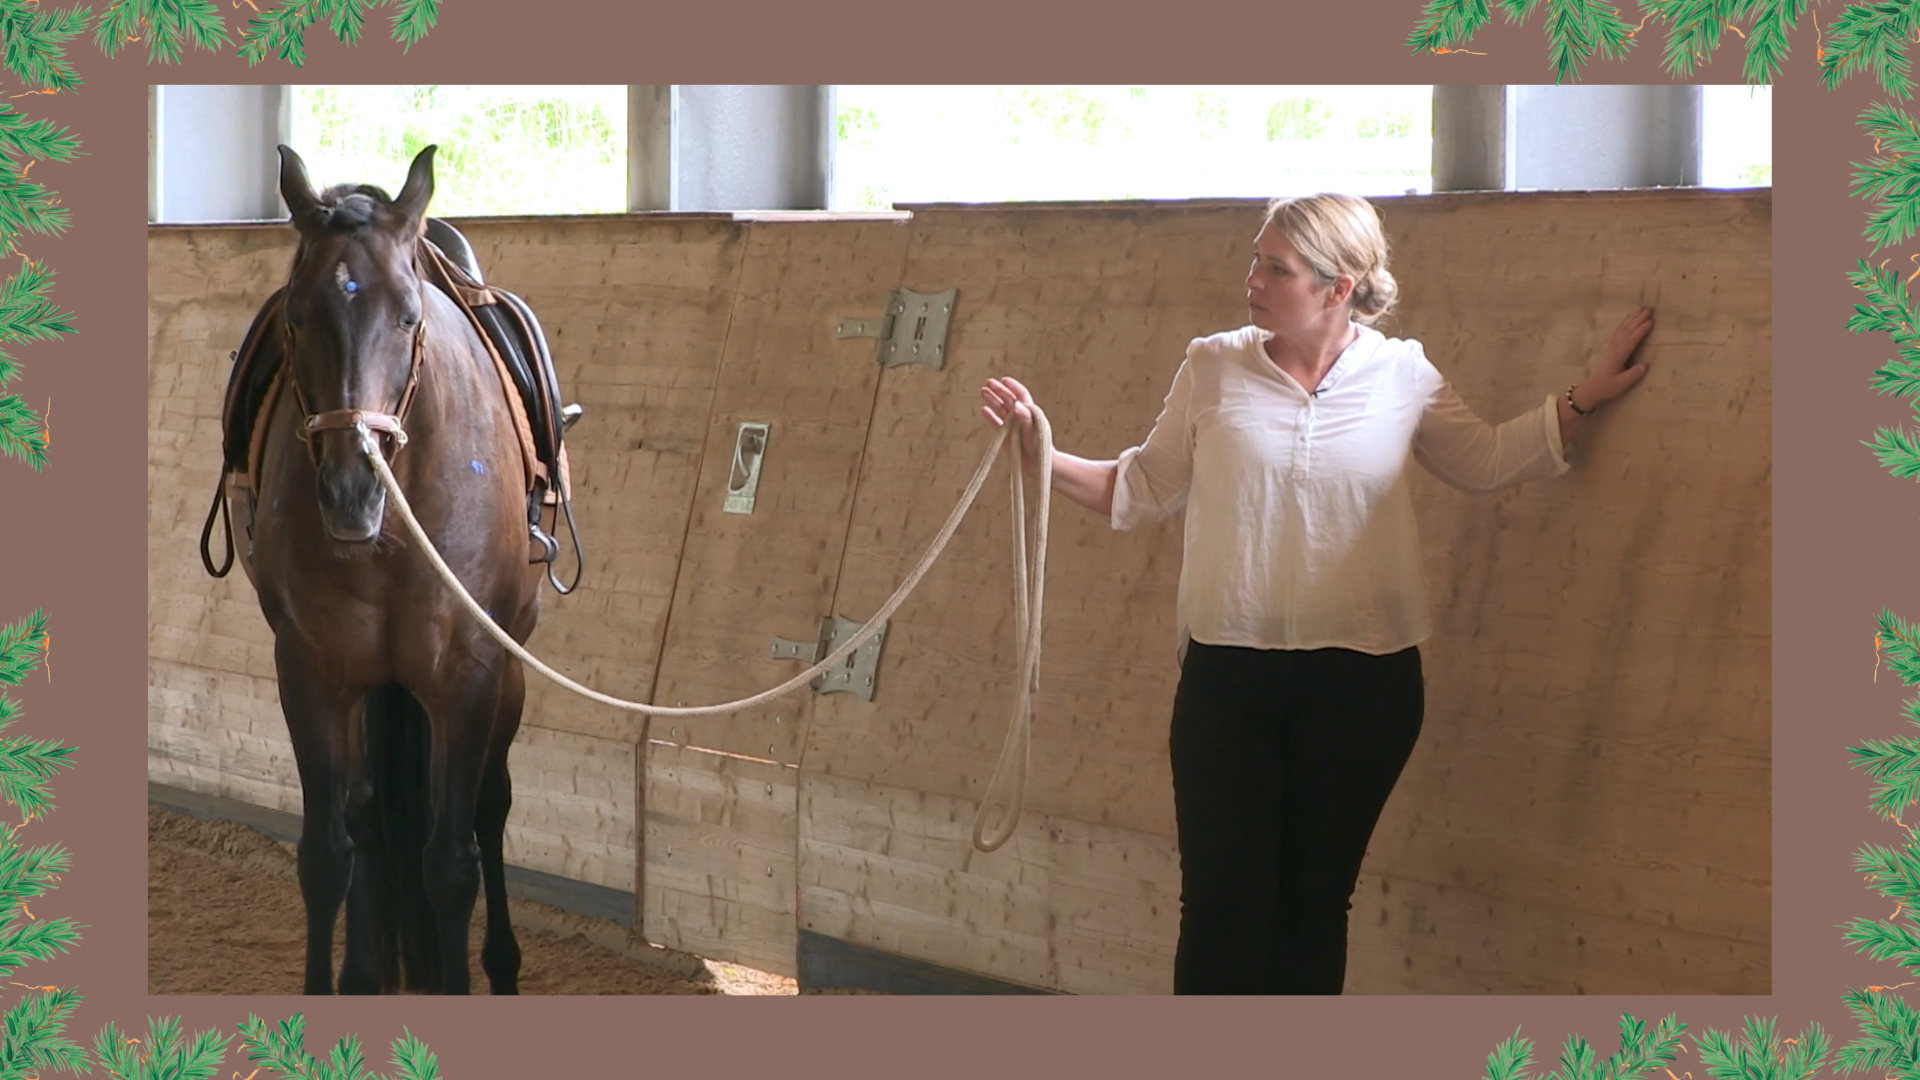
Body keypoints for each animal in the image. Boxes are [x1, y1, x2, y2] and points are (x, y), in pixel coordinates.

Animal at [227, 145, 541, 994]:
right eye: (297, 318)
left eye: (407, 316)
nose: (349, 488)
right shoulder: (310, 668)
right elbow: (325, 854)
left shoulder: (468, 671)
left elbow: (452, 864)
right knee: (368, 813)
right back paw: (367, 973)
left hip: (506, 672)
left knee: (492, 806)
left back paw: (501, 965)